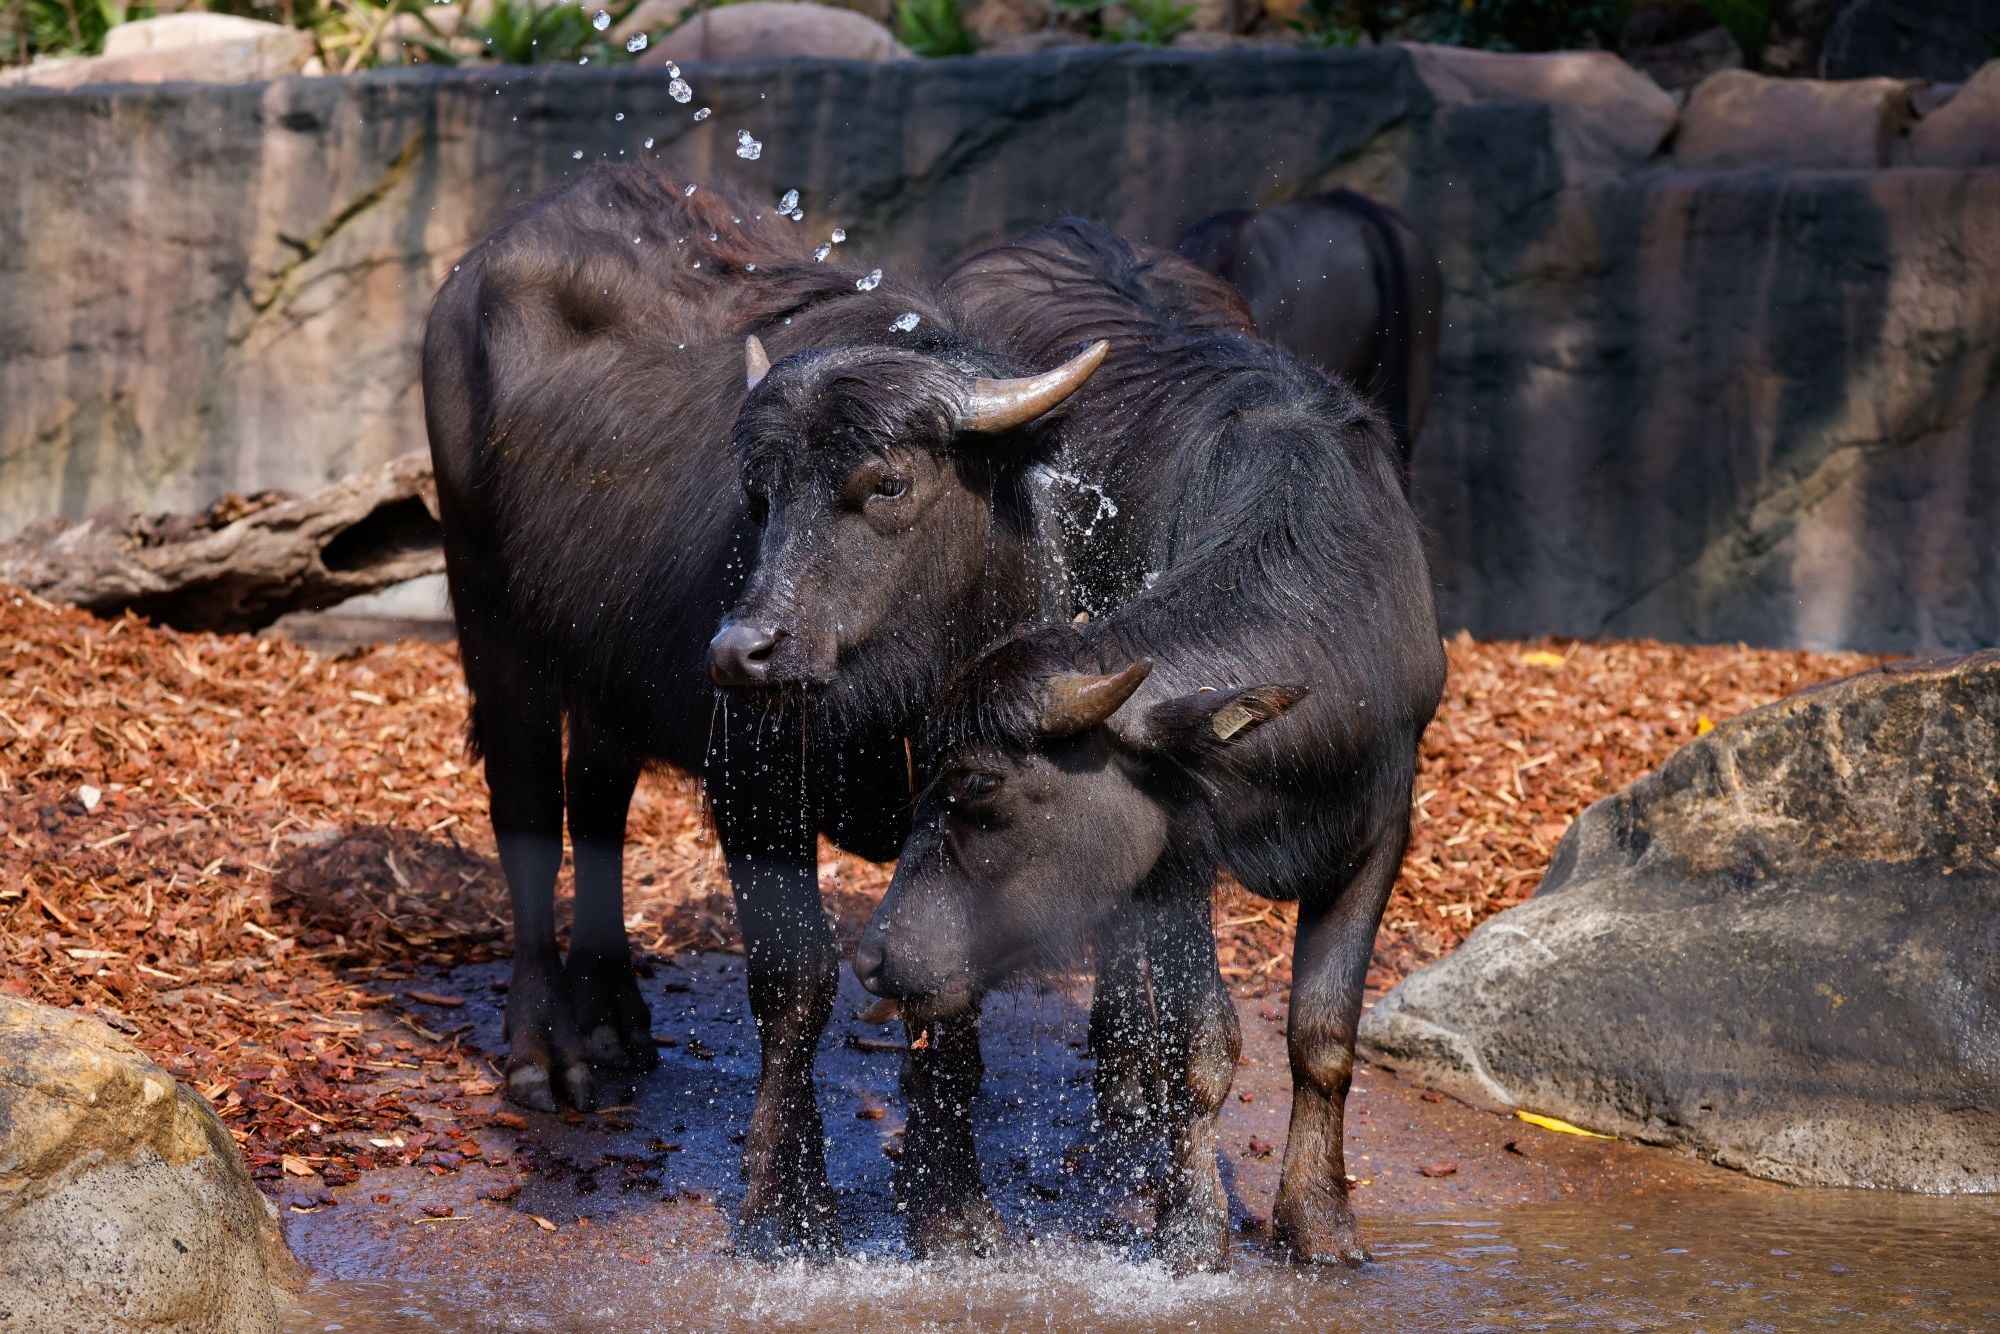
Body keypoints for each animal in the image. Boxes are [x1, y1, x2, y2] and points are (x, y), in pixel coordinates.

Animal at [852, 308, 1446, 1270]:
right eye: (927, 772)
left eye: (978, 781)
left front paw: (1321, 1223)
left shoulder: (1384, 829)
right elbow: (1200, 1044)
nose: (872, 958)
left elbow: (1323, 1039)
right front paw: (1192, 1229)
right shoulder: (1175, 860)